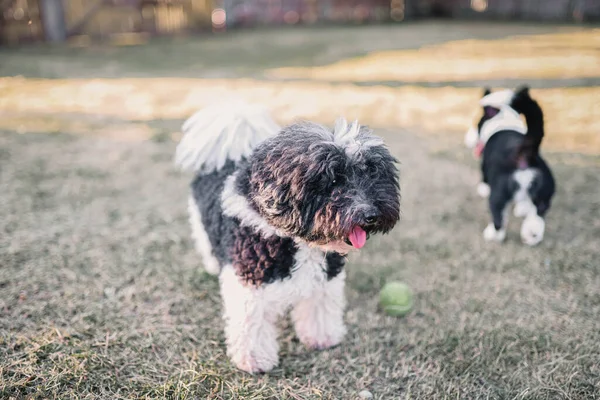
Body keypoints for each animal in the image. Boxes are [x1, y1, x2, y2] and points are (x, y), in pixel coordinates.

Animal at [175, 101, 398, 376]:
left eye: (372, 175)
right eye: (333, 180)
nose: (371, 215)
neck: (300, 242)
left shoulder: (325, 280)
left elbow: (319, 310)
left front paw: (322, 338)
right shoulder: (250, 283)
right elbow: (252, 325)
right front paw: (255, 360)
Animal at [466, 86, 556, 245]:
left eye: (477, 124)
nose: (468, 137)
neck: (504, 121)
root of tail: (526, 152)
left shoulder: (484, 167)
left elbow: (484, 181)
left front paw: (483, 189)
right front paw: (522, 209)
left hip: (498, 195)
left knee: (498, 219)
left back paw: (492, 234)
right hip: (544, 196)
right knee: (537, 218)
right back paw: (530, 236)